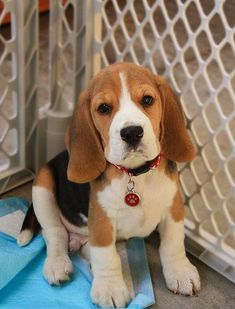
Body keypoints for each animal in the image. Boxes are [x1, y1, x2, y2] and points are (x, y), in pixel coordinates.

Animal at [19, 62, 200, 308]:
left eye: (147, 100)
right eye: (104, 108)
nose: (132, 132)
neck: (135, 174)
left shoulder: (173, 208)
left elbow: (173, 242)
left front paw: (180, 272)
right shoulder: (101, 220)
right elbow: (107, 255)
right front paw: (110, 288)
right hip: (42, 184)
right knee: (55, 233)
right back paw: (57, 264)